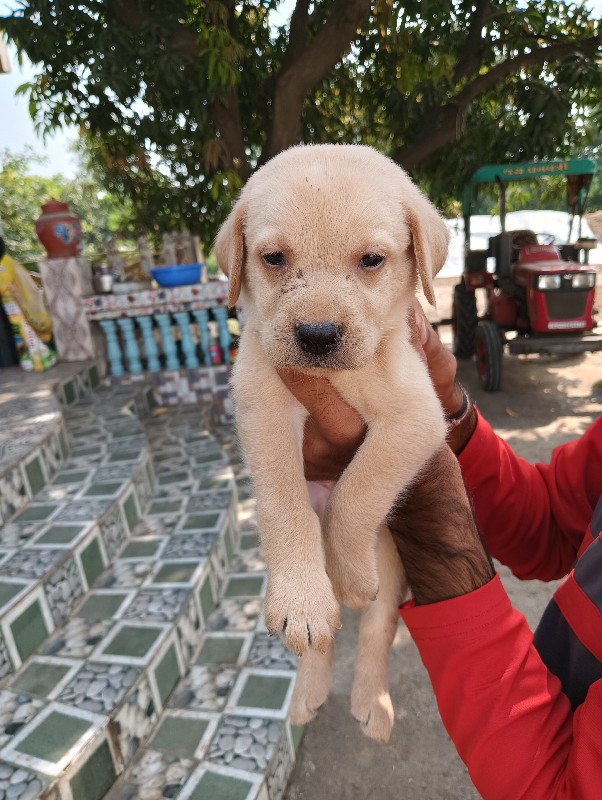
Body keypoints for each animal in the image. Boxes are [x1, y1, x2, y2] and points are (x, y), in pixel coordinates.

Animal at [214, 145, 446, 744]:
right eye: (273, 258)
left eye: (371, 260)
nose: (317, 336)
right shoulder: (262, 406)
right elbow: (284, 504)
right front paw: (301, 600)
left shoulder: (417, 417)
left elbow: (357, 491)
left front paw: (352, 573)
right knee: (323, 638)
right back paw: (308, 689)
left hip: (392, 558)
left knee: (377, 624)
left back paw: (371, 698)